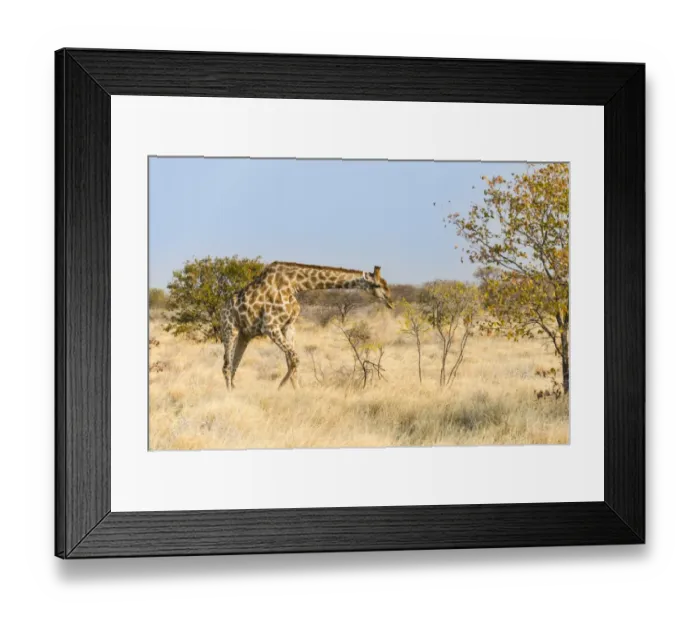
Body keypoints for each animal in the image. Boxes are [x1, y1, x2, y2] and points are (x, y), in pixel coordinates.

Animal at [220, 262, 393, 391]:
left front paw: (296, 392)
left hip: (245, 335)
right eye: (377, 285)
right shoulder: (270, 327)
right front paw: (280, 387)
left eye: (385, 283)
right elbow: (295, 359)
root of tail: (224, 307)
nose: (390, 301)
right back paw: (229, 394)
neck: (293, 284)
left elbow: (292, 362)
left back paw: (234, 389)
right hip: (230, 329)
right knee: (226, 366)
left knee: (234, 364)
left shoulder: (288, 326)